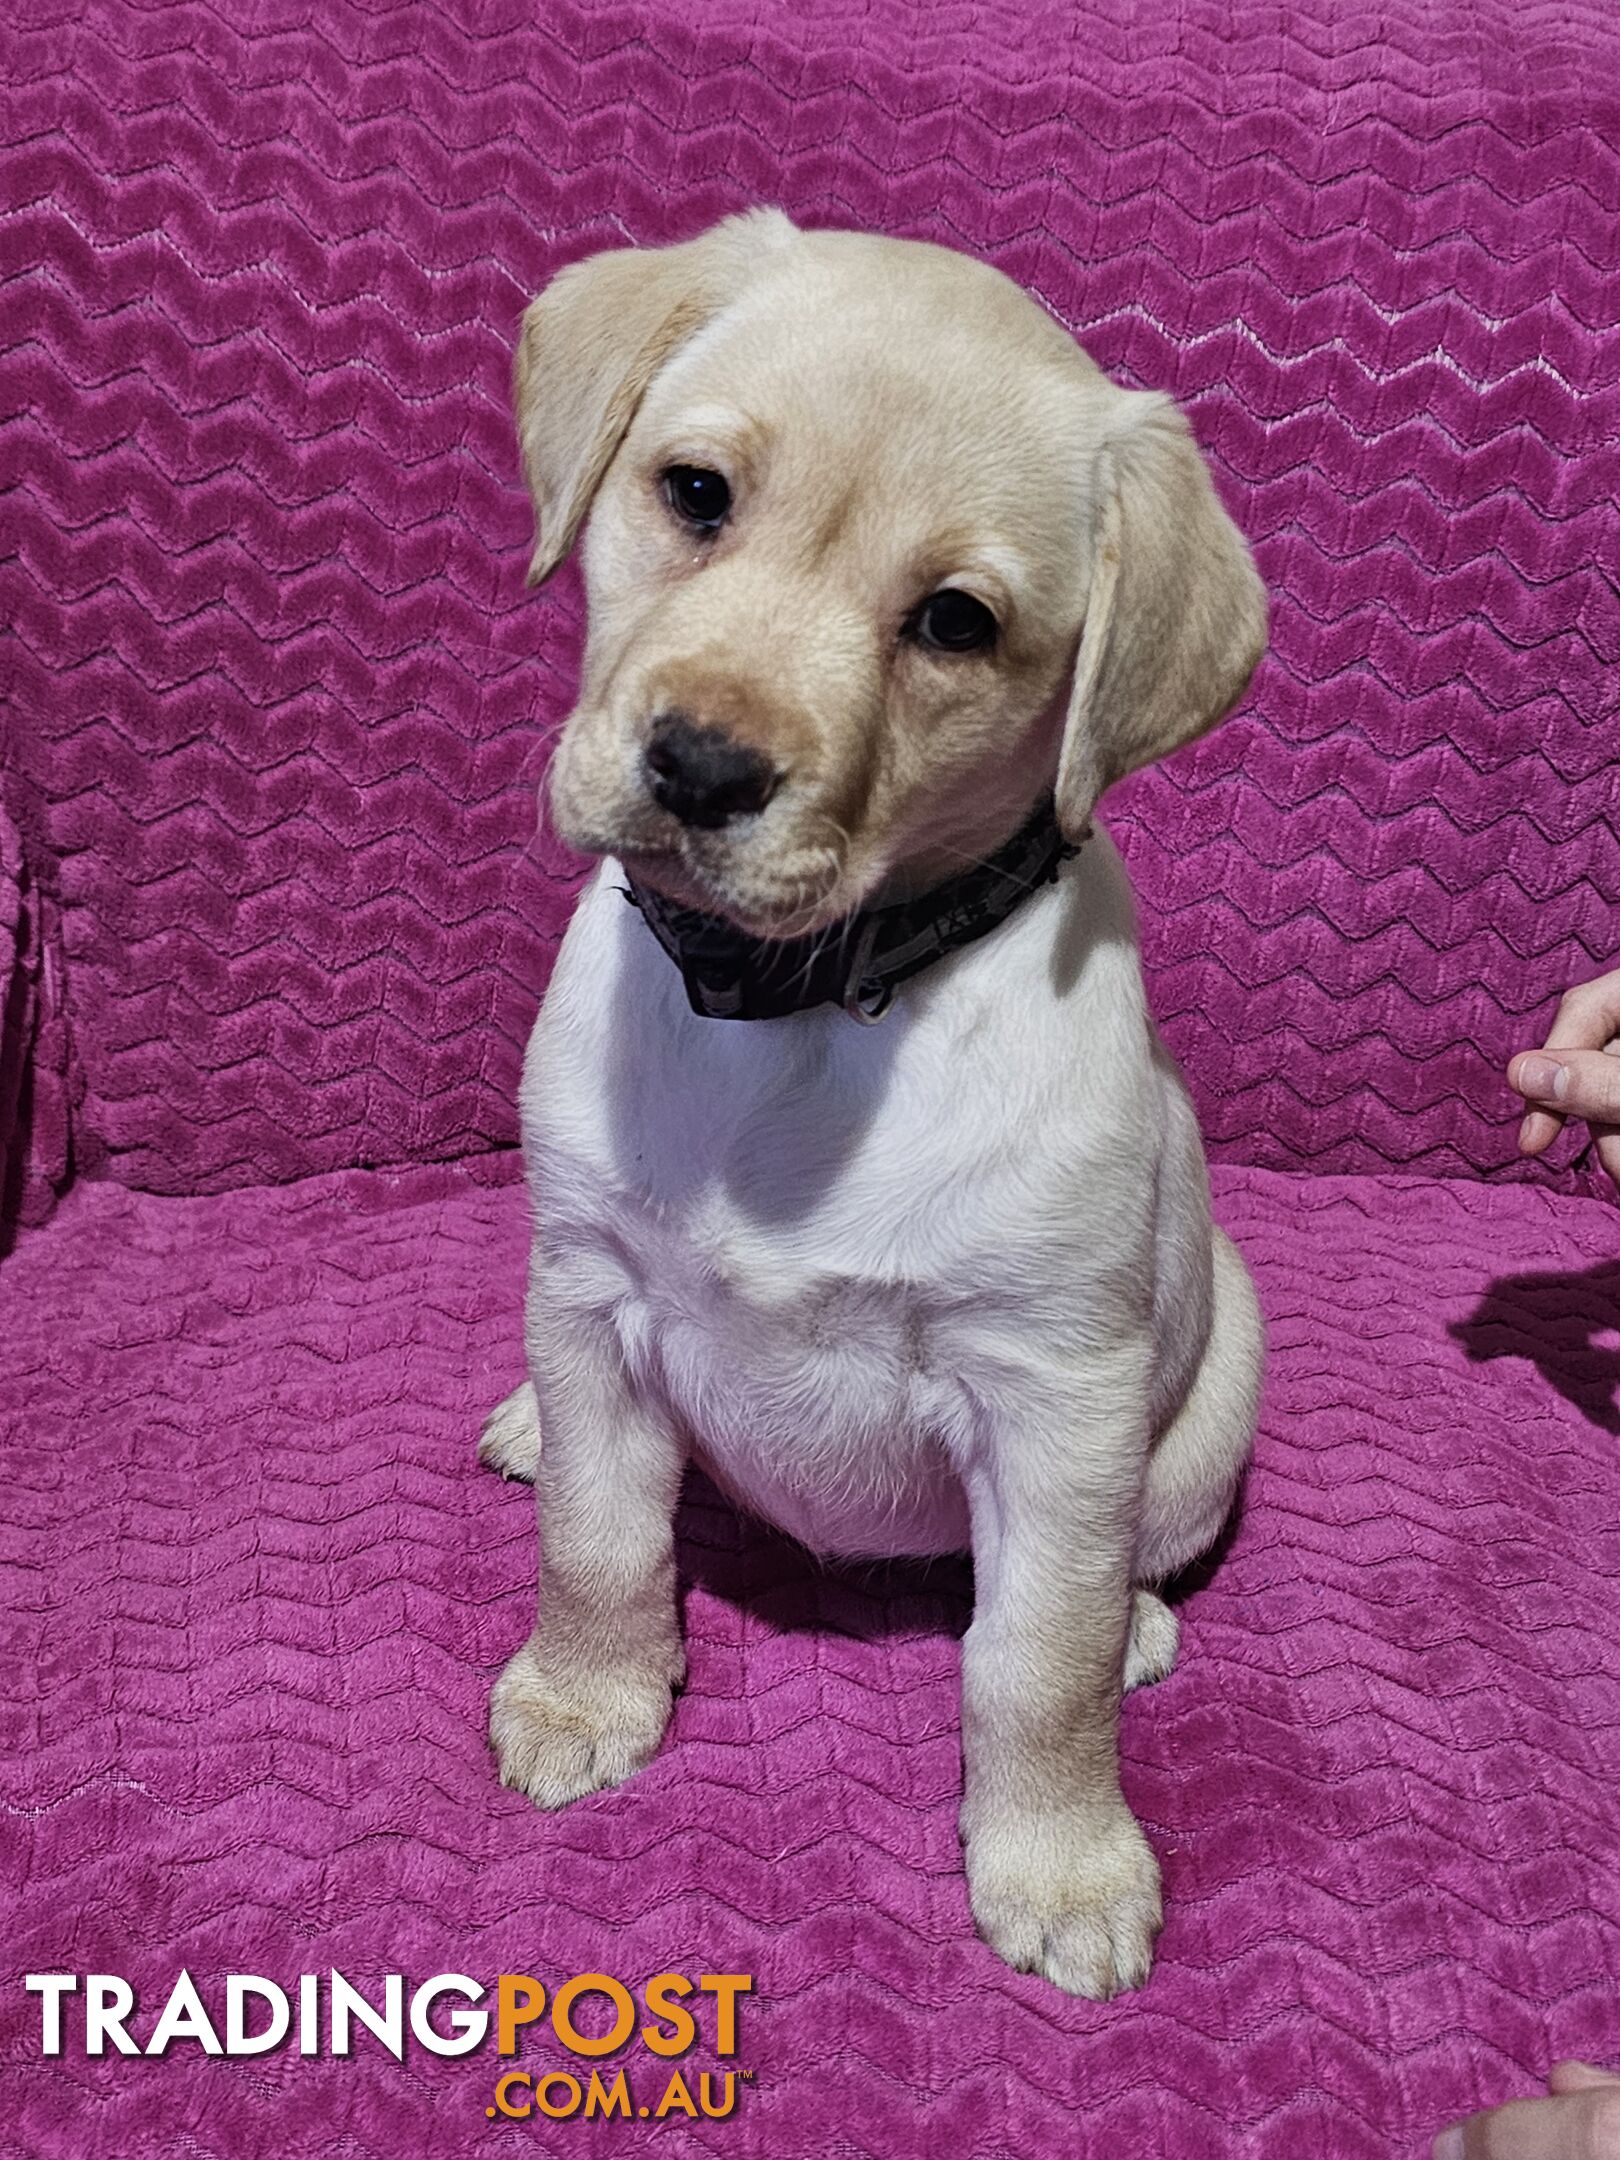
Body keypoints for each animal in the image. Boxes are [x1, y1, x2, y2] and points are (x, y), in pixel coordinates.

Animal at [481, 210, 1270, 1995]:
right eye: (696, 493)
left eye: (956, 623)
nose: (702, 766)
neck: (799, 1006)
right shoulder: (587, 1288)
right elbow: (600, 1539)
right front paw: (586, 1693)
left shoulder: (1056, 1397)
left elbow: (1032, 1661)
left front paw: (1059, 1864)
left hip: (1205, 1411)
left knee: (1110, 1579)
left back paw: (1143, 1625)